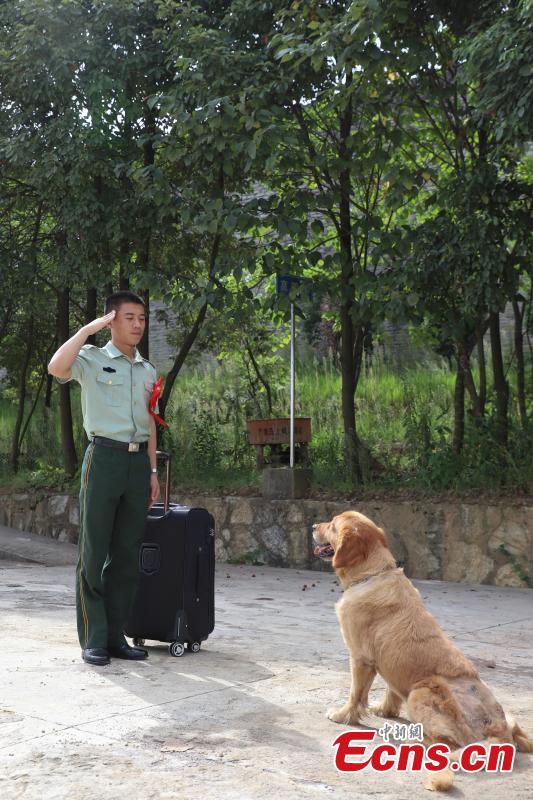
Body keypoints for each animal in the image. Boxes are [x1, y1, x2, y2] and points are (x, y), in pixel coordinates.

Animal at [312, 510, 532, 792]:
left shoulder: (360, 658)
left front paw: (342, 715)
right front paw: (385, 710)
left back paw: (414, 742)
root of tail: (499, 730)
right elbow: (390, 690)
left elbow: (355, 695)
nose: (314, 525)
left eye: (332, 524)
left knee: (445, 743)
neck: (372, 573)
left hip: (422, 690)